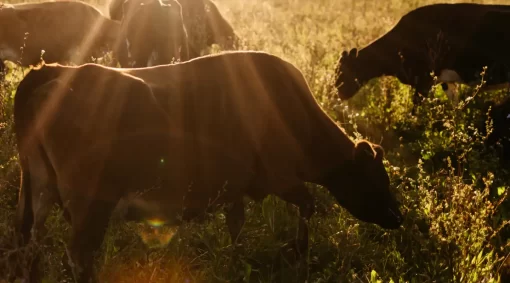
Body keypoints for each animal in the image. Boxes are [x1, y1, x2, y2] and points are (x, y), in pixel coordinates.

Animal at [12, 51, 402, 283]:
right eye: (376, 178)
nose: (398, 217)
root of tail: (54, 72)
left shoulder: (236, 186)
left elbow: (236, 225)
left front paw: (235, 261)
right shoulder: (281, 177)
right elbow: (309, 205)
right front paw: (298, 256)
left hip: (38, 188)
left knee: (32, 241)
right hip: (90, 201)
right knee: (79, 253)